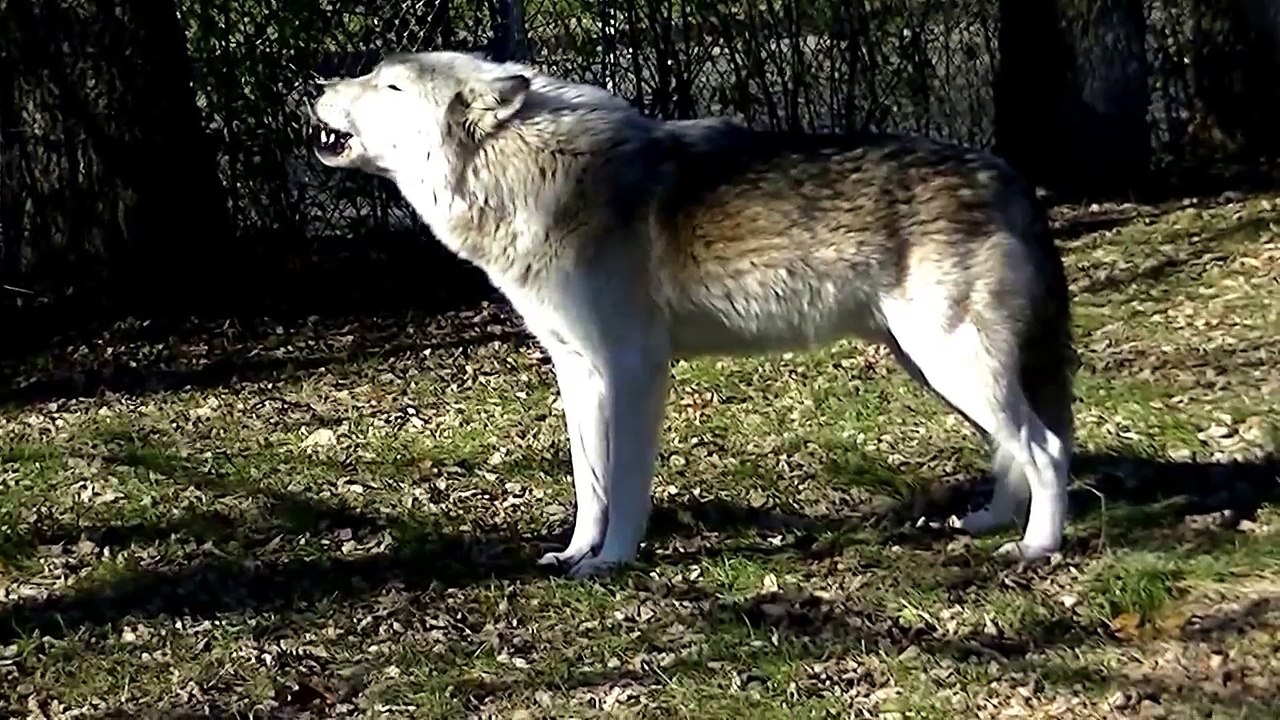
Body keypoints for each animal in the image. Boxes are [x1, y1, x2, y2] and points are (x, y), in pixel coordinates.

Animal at [309, 50, 1077, 578]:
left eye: (389, 86)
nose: (315, 88)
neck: (529, 177)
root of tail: (1008, 174)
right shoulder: (578, 373)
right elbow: (590, 485)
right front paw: (575, 554)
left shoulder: (633, 371)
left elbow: (626, 482)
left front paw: (613, 562)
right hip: (936, 368)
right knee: (1014, 448)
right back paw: (989, 521)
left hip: (952, 365)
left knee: (1045, 448)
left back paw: (1037, 545)